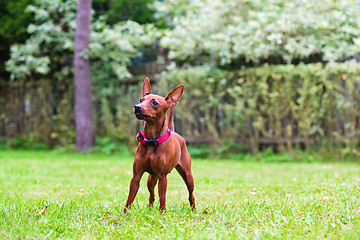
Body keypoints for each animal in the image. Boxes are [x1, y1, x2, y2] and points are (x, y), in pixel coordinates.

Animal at [124, 78, 197, 213]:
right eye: (141, 100)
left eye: (155, 103)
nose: (137, 107)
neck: (151, 140)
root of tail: (173, 131)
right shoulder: (136, 177)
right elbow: (130, 199)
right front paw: (125, 214)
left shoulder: (163, 177)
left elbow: (162, 197)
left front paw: (162, 213)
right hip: (151, 178)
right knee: (151, 195)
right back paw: (150, 210)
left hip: (188, 176)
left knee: (191, 195)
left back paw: (193, 209)